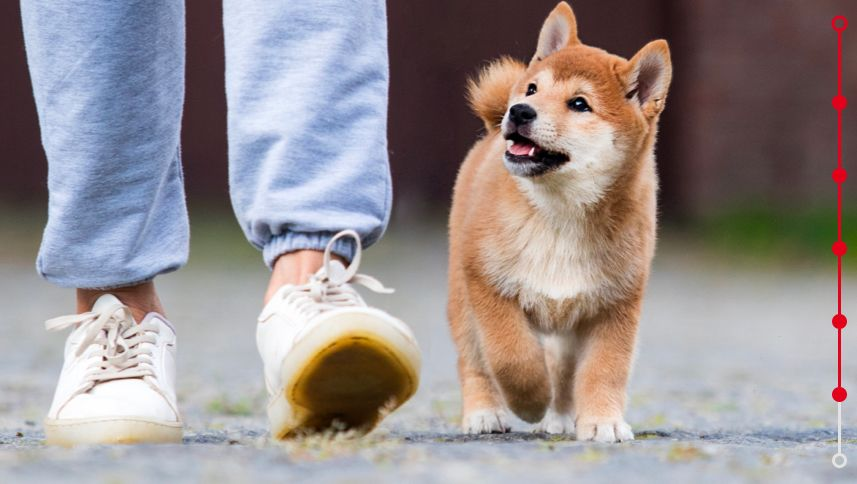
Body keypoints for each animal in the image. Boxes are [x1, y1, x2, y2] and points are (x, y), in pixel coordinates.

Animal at [444, 0, 672, 442]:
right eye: (533, 89)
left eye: (579, 104)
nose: (518, 110)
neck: (560, 214)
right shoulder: (487, 285)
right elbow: (512, 356)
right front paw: (530, 400)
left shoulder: (616, 305)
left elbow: (605, 369)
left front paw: (602, 421)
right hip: (462, 301)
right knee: (473, 361)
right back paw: (485, 413)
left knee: (564, 371)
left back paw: (563, 416)